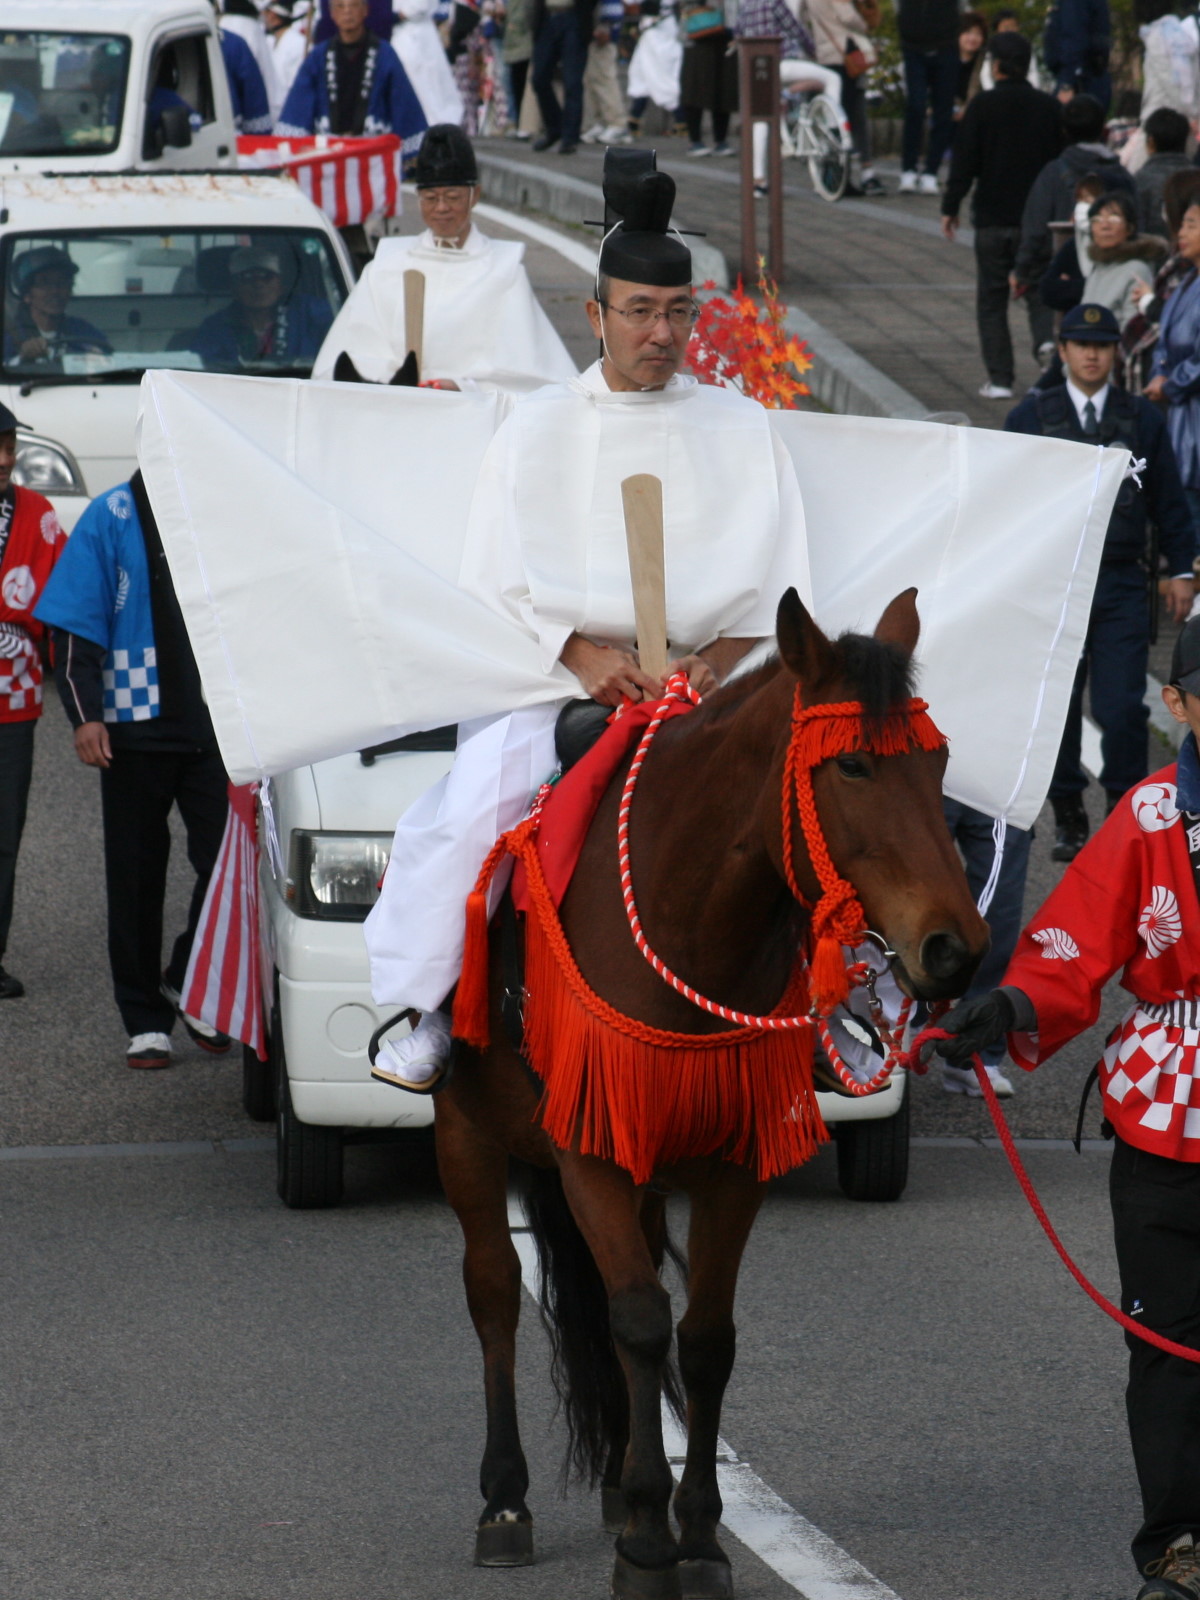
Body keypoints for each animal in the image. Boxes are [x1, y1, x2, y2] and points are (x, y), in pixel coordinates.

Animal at [432, 588, 985, 1600]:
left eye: (938, 763)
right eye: (852, 764)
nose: (954, 950)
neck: (690, 915)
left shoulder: (731, 1160)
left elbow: (703, 1337)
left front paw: (694, 1534)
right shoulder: (592, 1154)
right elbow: (642, 1320)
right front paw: (650, 1548)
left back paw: (619, 1482)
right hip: (466, 1130)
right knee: (493, 1290)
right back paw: (506, 1500)